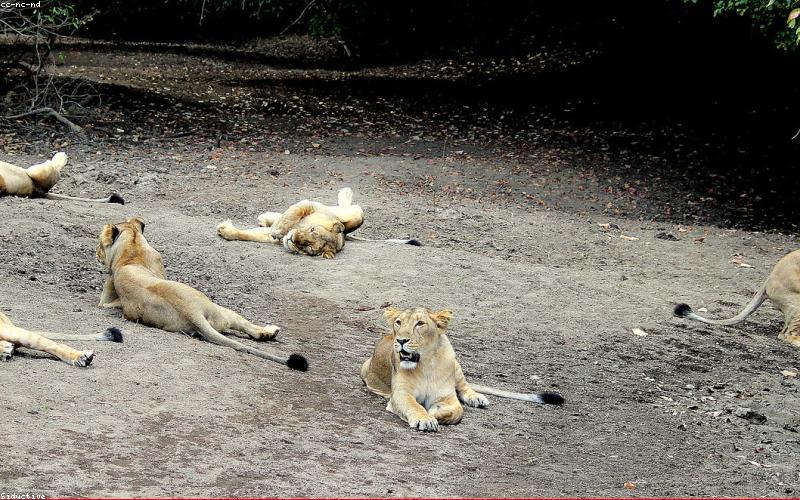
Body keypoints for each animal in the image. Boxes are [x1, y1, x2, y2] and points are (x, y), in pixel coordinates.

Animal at [96, 216, 307, 370]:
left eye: (99, 245)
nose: (96, 254)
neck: (132, 250)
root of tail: (192, 313)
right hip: (221, 310)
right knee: (246, 326)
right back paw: (268, 332)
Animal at [216, 187, 420, 259]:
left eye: (309, 249)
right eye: (312, 229)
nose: (293, 239)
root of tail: (346, 234)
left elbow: (247, 234)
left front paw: (225, 230)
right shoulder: (310, 205)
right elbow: (295, 211)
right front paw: (279, 228)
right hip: (352, 215)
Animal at [360, 307, 564, 432]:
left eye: (420, 323)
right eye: (398, 322)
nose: (401, 340)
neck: (425, 365)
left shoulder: (446, 396)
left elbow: (457, 410)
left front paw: (434, 413)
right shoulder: (400, 395)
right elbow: (414, 406)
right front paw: (425, 418)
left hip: (456, 365)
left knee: (465, 387)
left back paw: (477, 398)